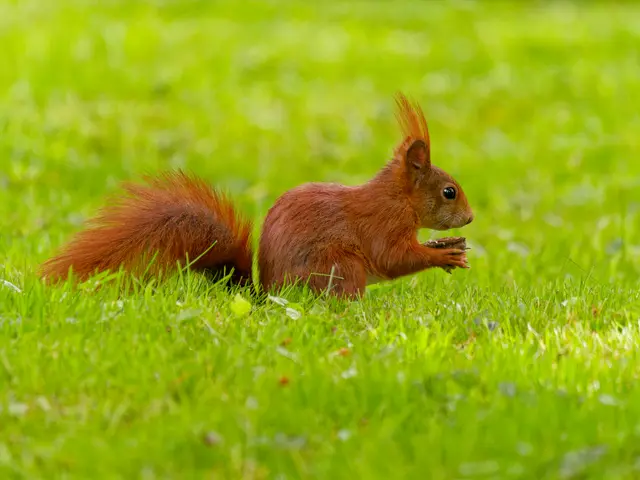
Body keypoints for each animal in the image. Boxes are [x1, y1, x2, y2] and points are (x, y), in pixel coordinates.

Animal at [40, 92, 474, 299]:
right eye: (449, 192)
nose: (469, 219)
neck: (397, 198)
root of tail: (267, 294)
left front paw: (446, 245)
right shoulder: (383, 224)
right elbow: (393, 257)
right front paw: (443, 255)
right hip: (340, 267)